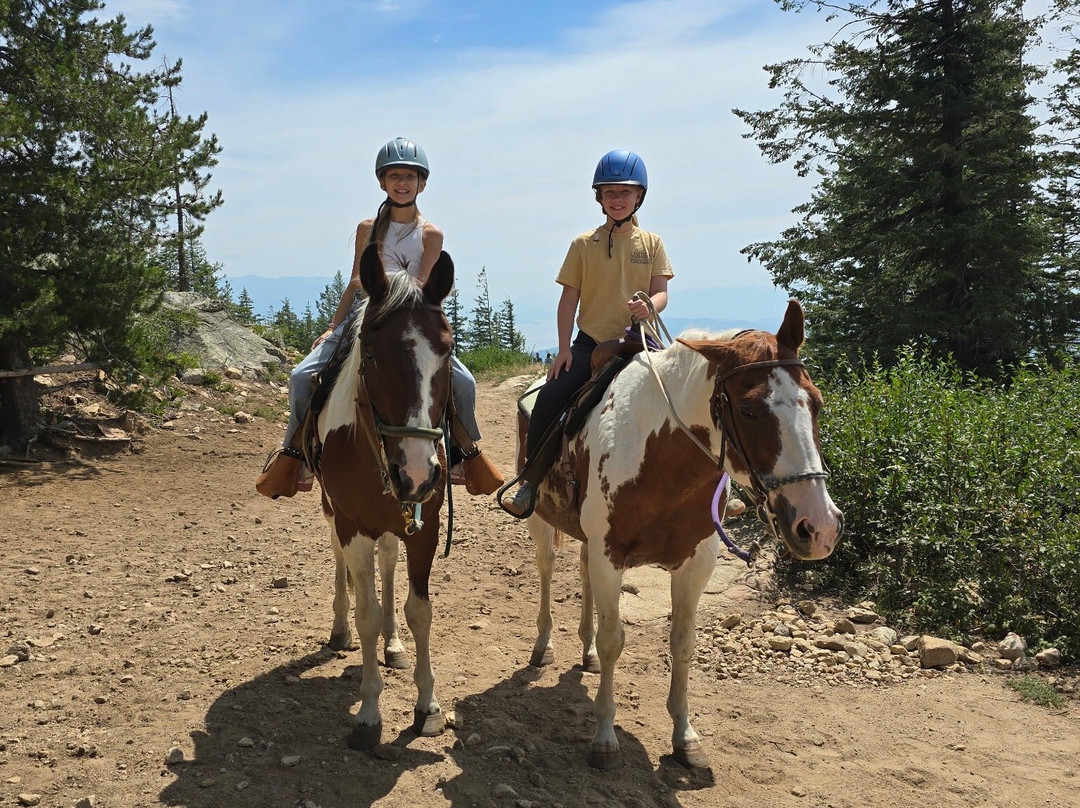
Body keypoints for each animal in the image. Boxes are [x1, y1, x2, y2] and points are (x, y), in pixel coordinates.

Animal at [316, 242, 454, 751]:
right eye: (372, 355)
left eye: (447, 351)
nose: (415, 471)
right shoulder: (352, 524)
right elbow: (367, 615)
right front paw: (369, 714)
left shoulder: (425, 525)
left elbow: (420, 611)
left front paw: (427, 706)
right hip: (333, 513)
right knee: (340, 562)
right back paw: (339, 630)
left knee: (389, 559)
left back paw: (393, 646)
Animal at [517, 299, 843, 770]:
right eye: (749, 410)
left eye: (816, 404)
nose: (818, 526)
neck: (660, 458)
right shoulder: (610, 557)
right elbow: (614, 640)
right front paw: (604, 737)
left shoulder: (695, 564)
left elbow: (683, 643)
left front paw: (685, 737)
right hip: (541, 521)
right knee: (546, 569)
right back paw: (544, 645)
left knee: (581, 573)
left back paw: (587, 652)